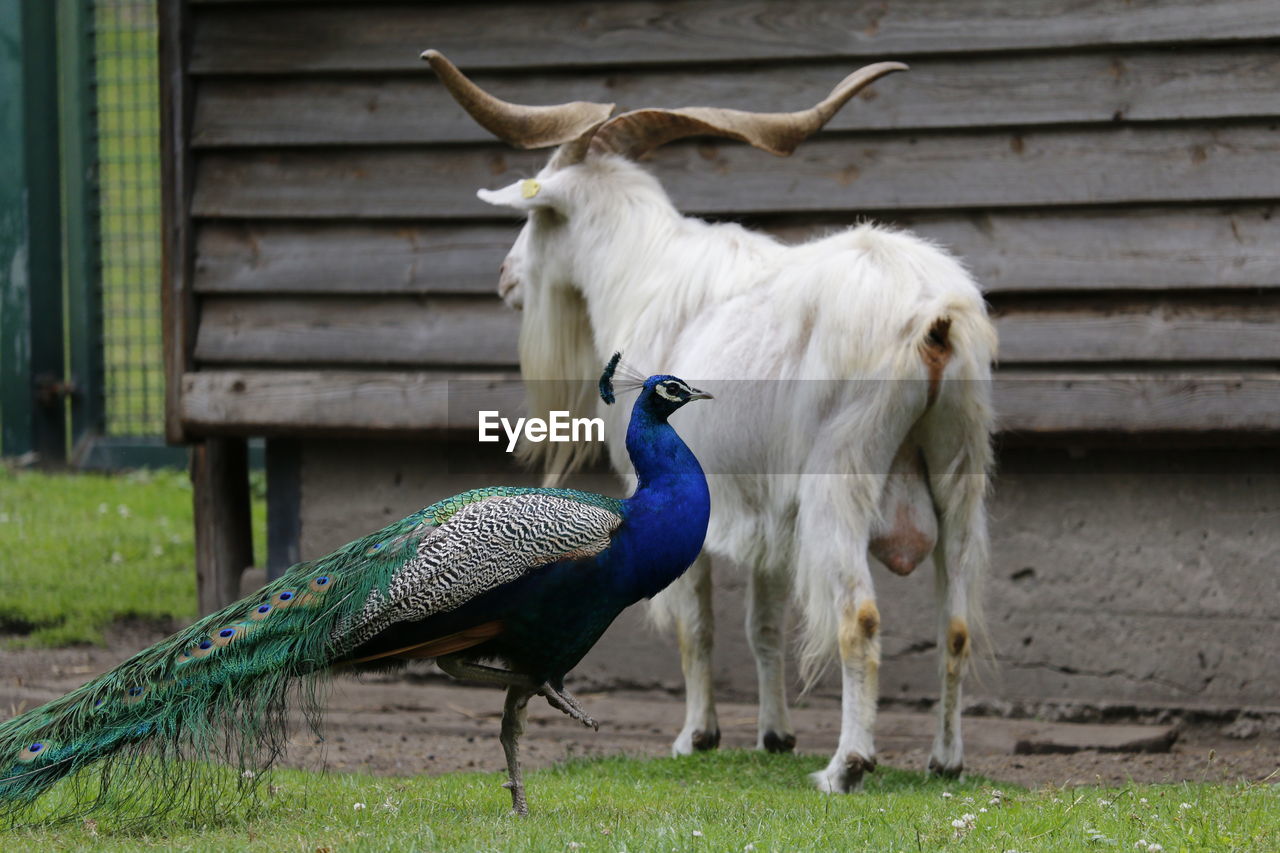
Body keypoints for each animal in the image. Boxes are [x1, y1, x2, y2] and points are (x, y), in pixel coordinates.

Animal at [430, 49, 998, 788]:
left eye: (538, 216)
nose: (505, 278)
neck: (645, 273)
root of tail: (937, 320)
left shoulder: (681, 495)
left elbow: (694, 623)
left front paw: (696, 737)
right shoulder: (769, 513)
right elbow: (764, 625)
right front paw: (774, 735)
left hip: (841, 475)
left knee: (860, 617)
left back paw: (846, 766)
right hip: (959, 468)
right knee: (955, 623)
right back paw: (945, 760)